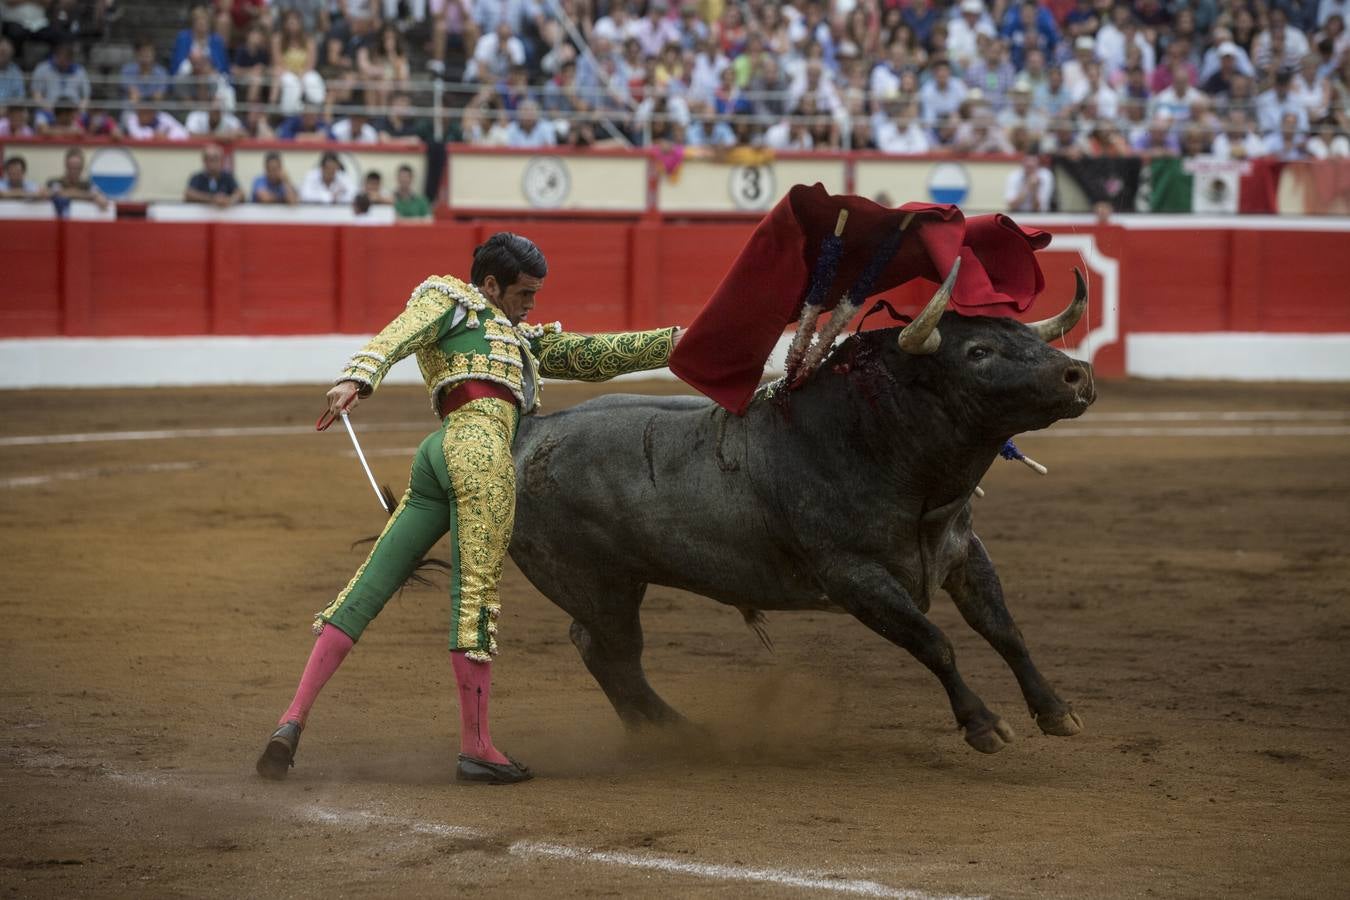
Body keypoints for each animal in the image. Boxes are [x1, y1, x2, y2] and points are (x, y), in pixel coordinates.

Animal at [507, 275, 1096, 755]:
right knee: (612, 654)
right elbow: (935, 643)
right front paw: (983, 725)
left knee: (605, 653)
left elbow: (1004, 629)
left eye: (1030, 339)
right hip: (596, 586)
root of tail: (530, 431)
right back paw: (678, 735)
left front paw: (1056, 711)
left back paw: (667, 733)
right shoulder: (855, 578)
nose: (1078, 373)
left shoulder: (963, 553)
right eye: (978, 351)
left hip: (620, 585)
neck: (877, 443)